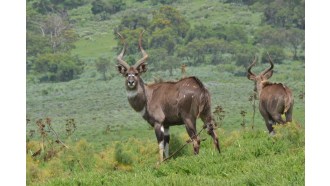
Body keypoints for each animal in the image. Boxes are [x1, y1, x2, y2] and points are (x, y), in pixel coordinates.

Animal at [114, 30, 220, 161]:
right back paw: (218, 155)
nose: (131, 82)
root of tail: (201, 87)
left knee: (197, 139)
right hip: (206, 114)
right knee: (214, 134)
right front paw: (167, 161)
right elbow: (167, 145)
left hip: (189, 119)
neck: (148, 96)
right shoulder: (167, 125)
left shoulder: (158, 122)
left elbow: (160, 144)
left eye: (137, 73)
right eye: (126, 74)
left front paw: (160, 162)